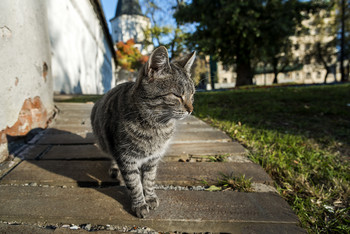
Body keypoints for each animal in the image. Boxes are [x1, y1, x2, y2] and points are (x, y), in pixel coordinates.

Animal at [90, 46, 196, 218]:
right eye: (177, 95)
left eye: (192, 94)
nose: (191, 110)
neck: (157, 126)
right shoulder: (126, 158)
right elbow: (134, 183)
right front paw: (139, 204)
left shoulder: (153, 158)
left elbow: (149, 179)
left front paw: (150, 197)